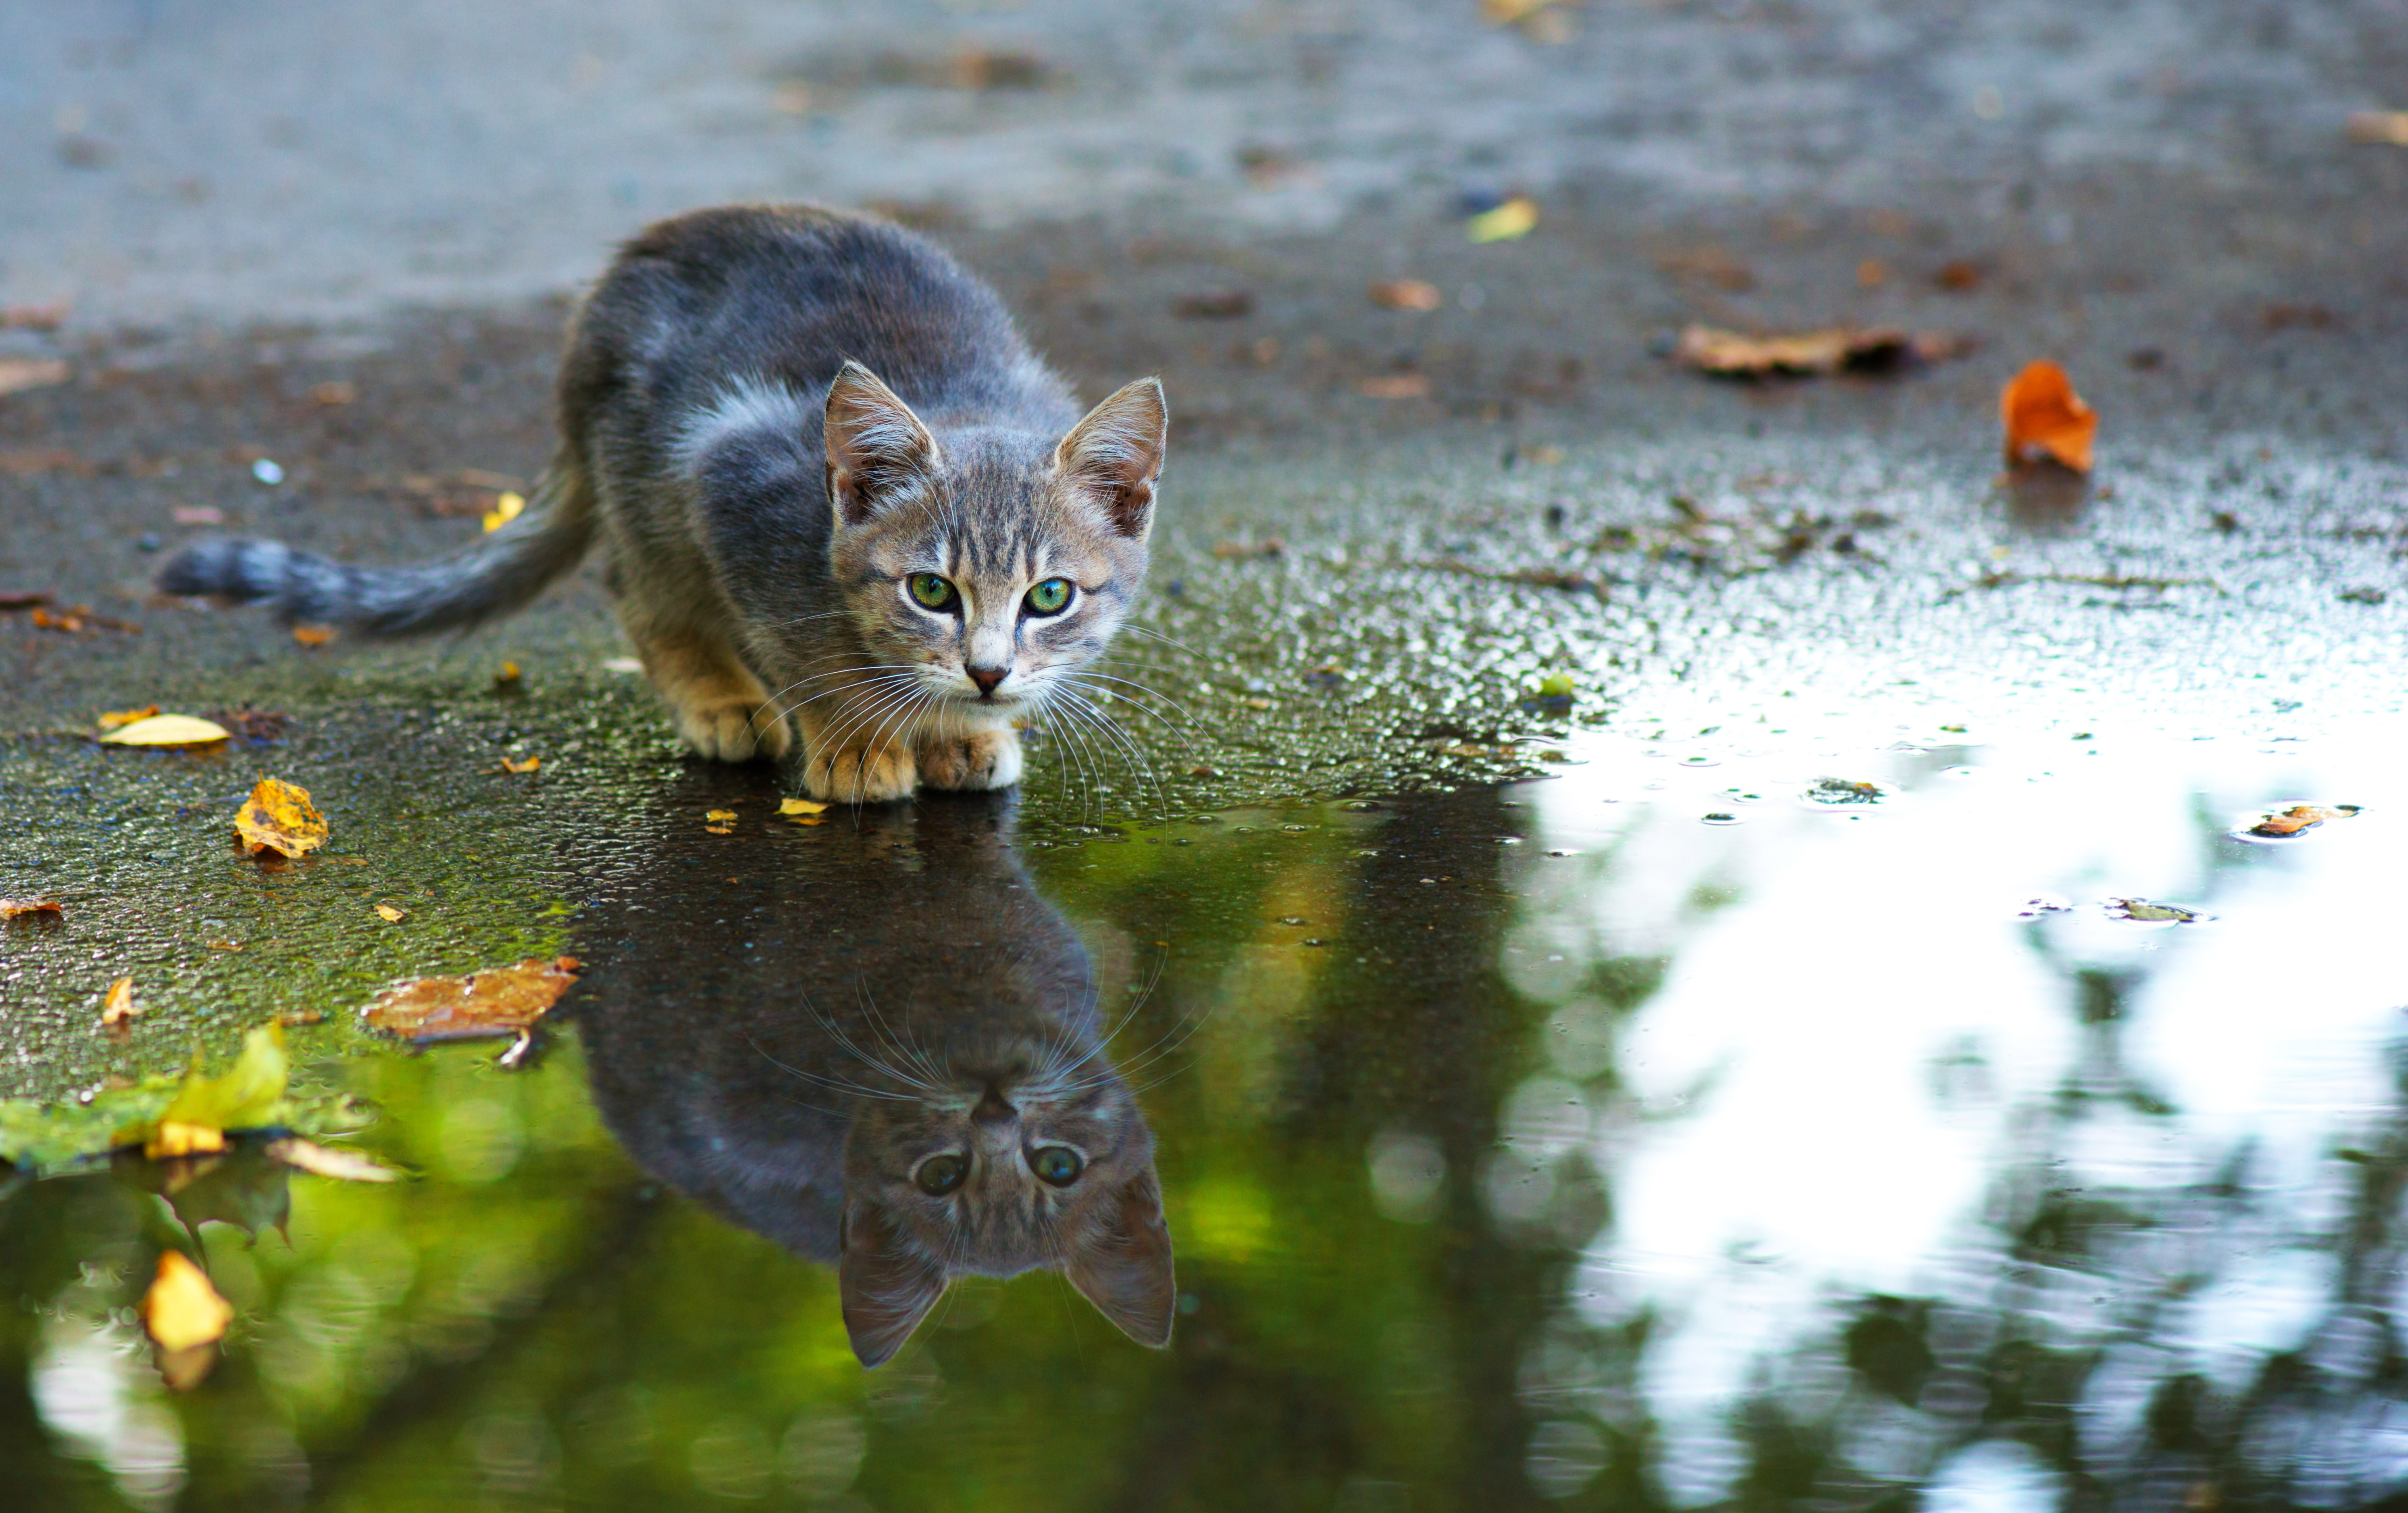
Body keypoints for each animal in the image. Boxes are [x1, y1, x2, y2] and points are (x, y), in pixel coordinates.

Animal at [160, 211, 1165, 809]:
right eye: (930, 590)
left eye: (1049, 597)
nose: (988, 673)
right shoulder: (734, 484)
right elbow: (810, 657)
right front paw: (857, 740)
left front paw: (965, 729)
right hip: (654, 485)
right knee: (636, 585)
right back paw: (724, 700)